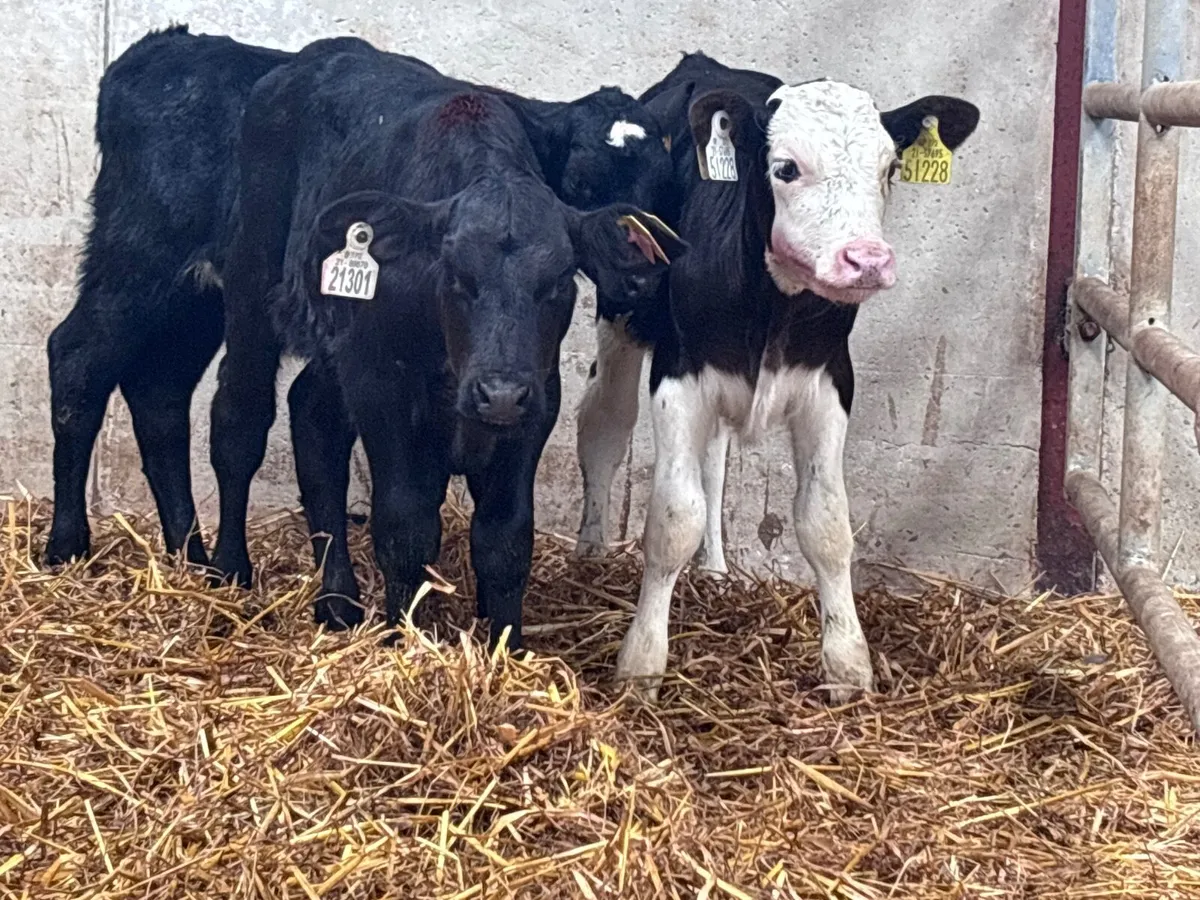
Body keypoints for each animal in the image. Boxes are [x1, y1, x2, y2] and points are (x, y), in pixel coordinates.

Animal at [43, 26, 676, 578]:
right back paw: (92, 547)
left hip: (193, 302)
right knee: (107, 368)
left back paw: (189, 555)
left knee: (163, 393)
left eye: (662, 181)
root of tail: (163, 45)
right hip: (153, 266)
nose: (642, 276)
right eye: (586, 179)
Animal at [207, 40, 682, 652]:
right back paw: (228, 567)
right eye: (455, 276)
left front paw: (507, 649)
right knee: (240, 419)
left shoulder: (535, 399)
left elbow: (505, 542)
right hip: (252, 283)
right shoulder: (383, 389)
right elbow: (405, 528)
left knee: (313, 416)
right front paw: (399, 639)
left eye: (558, 280)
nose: (642, 273)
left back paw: (337, 600)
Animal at [572, 53, 979, 701]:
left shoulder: (830, 381)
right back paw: (589, 550)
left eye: (890, 167)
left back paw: (714, 570)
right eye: (786, 168)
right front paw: (640, 666)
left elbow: (826, 523)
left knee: (714, 460)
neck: (773, 303)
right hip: (622, 309)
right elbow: (672, 517)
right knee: (604, 424)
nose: (867, 260)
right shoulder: (680, 374)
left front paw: (848, 667)